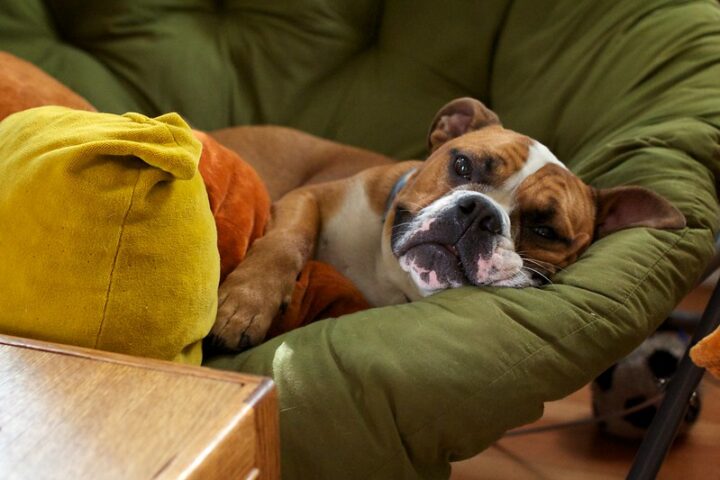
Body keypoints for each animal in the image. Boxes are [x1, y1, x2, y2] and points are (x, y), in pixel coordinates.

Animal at [210, 98, 688, 352]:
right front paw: (246, 303)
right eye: (461, 164)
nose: (479, 213)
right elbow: (286, 242)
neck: (388, 275)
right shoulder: (307, 199)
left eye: (545, 230)